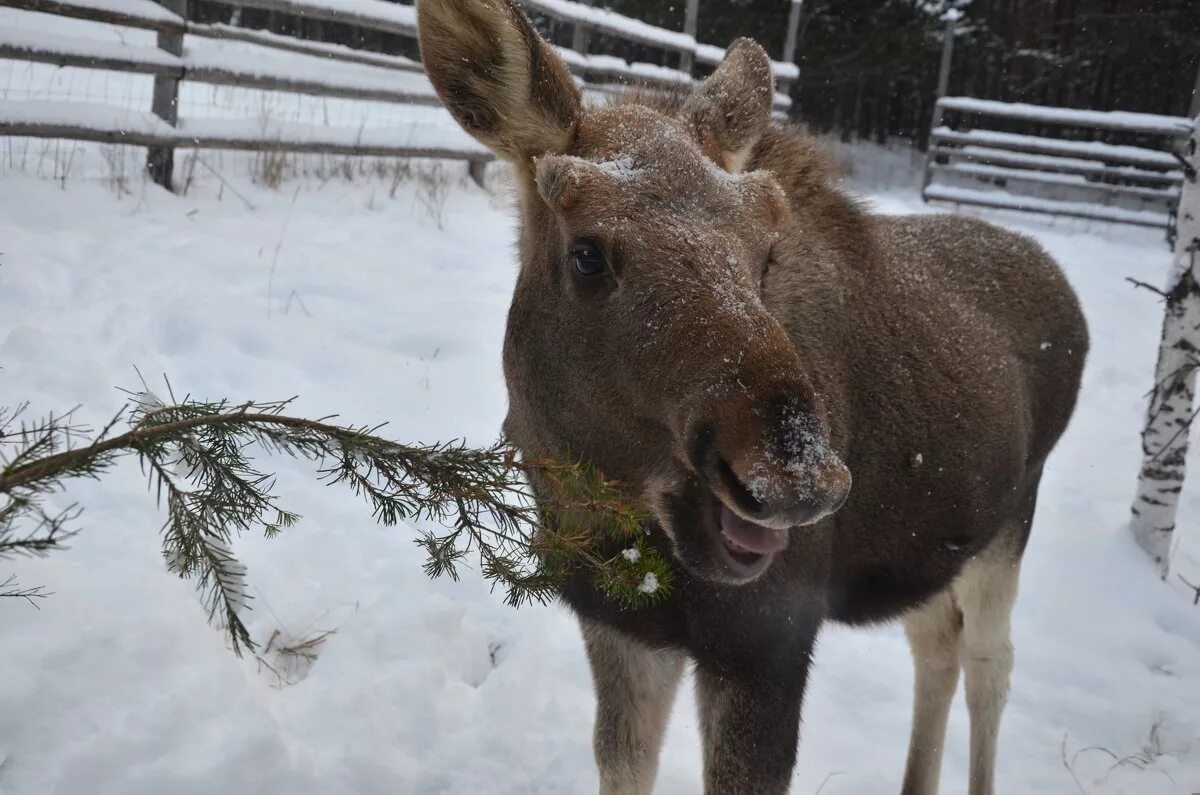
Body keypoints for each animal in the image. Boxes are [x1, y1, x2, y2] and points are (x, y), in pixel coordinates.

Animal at [412, 3, 1089, 792]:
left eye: (766, 251)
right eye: (586, 254)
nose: (796, 475)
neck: (607, 525)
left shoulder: (768, 645)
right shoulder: (619, 625)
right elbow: (622, 759)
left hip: (1009, 525)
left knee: (990, 664)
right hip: (937, 543)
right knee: (935, 646)